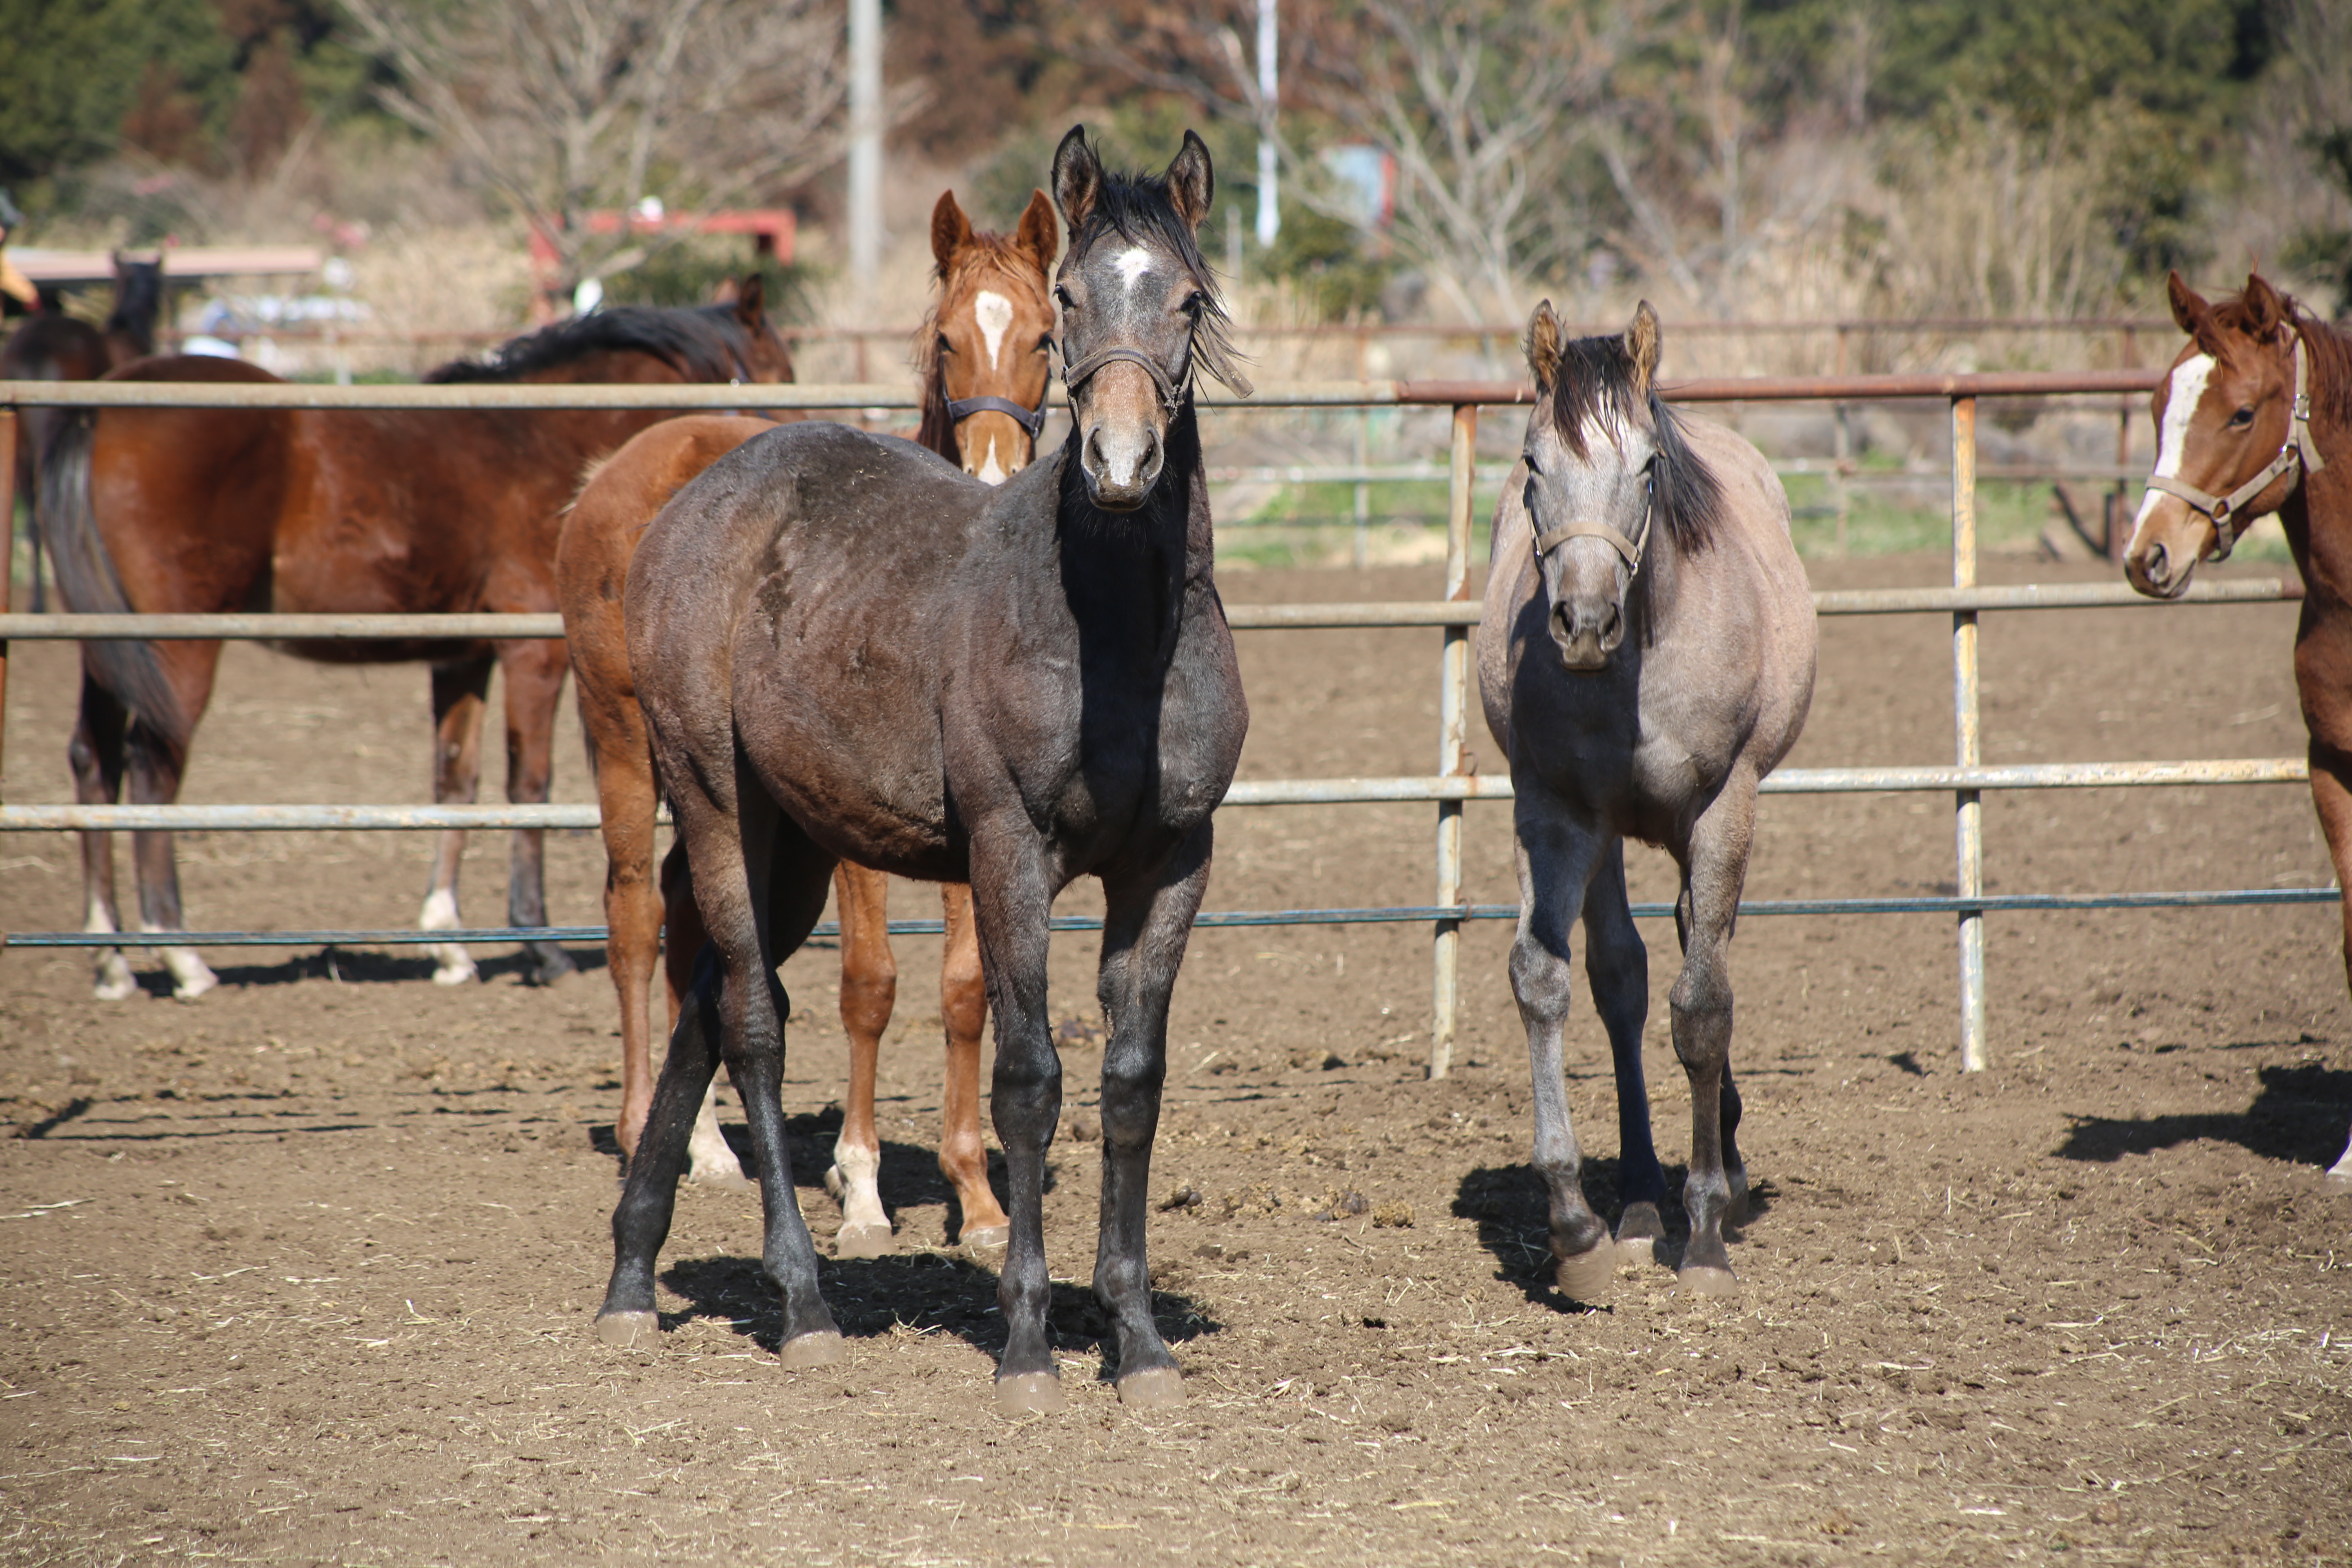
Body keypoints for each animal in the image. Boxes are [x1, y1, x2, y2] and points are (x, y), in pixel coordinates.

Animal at [41, 288, 795, 1001]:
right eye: (777, 372)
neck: (541, 437)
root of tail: (100, 410)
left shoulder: (462, 655)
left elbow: (454, 780)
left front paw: (448, 943)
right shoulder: (533, 653)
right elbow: (529, 781)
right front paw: (537, 942)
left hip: (111, 655)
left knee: (93, 762)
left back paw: (110, 957)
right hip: (178, 647)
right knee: (153, 771)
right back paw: (180, 954)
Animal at [555, 193, 1054, 1250]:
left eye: (1045, 335)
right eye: (945, 340)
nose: (996, 474)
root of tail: (616, 469)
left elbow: (965, 985)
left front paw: (978, 1198)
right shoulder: (853, 836)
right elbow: (870, 983)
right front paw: (861, 1189)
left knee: (691, 911)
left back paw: (704, 1142)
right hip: (623, 742)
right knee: (635, 911)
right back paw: (643, 1128)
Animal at [1477, 301, 1825, 1297]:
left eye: (1644, 466)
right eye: (1532, 463)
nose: (1583, 624)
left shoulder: (1720, 809)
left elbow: (1702, 1006)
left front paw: (1705, 1231)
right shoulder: (1555, 814)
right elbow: (1547, 979)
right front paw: (1576, 1230)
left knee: (1693, 953)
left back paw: (1720, 1180)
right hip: (1607, 838)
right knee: (1624, 982)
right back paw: (1635, 1200)